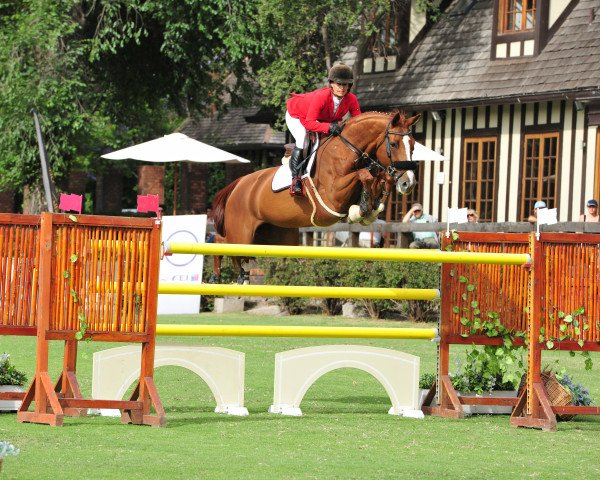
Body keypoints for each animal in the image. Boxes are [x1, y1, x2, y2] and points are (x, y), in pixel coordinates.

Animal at [209, 109, 420, 282]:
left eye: (413, 145)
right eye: (394, 144)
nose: (408, 183)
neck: (345, 151)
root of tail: (238, 185)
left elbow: (378, 178)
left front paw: (369, 207)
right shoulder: (333, 197)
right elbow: (363, 174)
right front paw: (361, 208)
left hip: (273, 236)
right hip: (241, 234)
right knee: (220, 241)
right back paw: (215, 276)